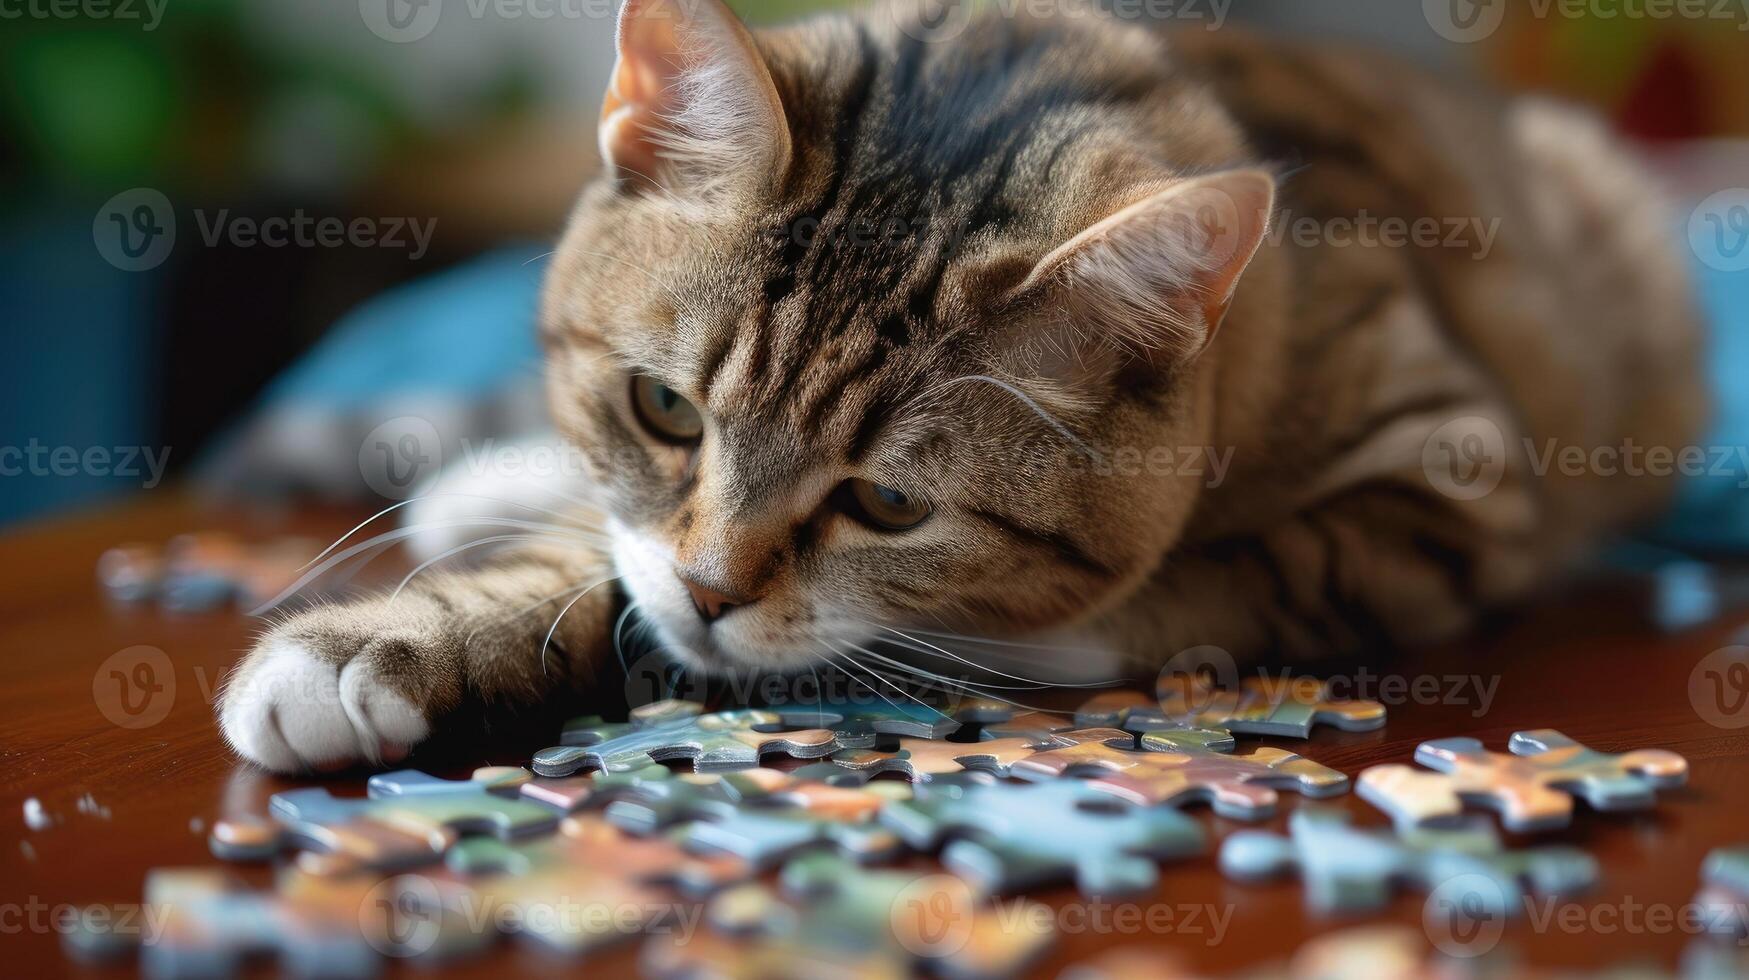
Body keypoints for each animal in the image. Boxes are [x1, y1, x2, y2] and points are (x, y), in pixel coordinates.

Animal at [211, 0, 1700, 773]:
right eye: (666, 410)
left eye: (886, 504)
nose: (711, 592)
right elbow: (608, 557)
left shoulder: (1450, 482)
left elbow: (1218, 579)